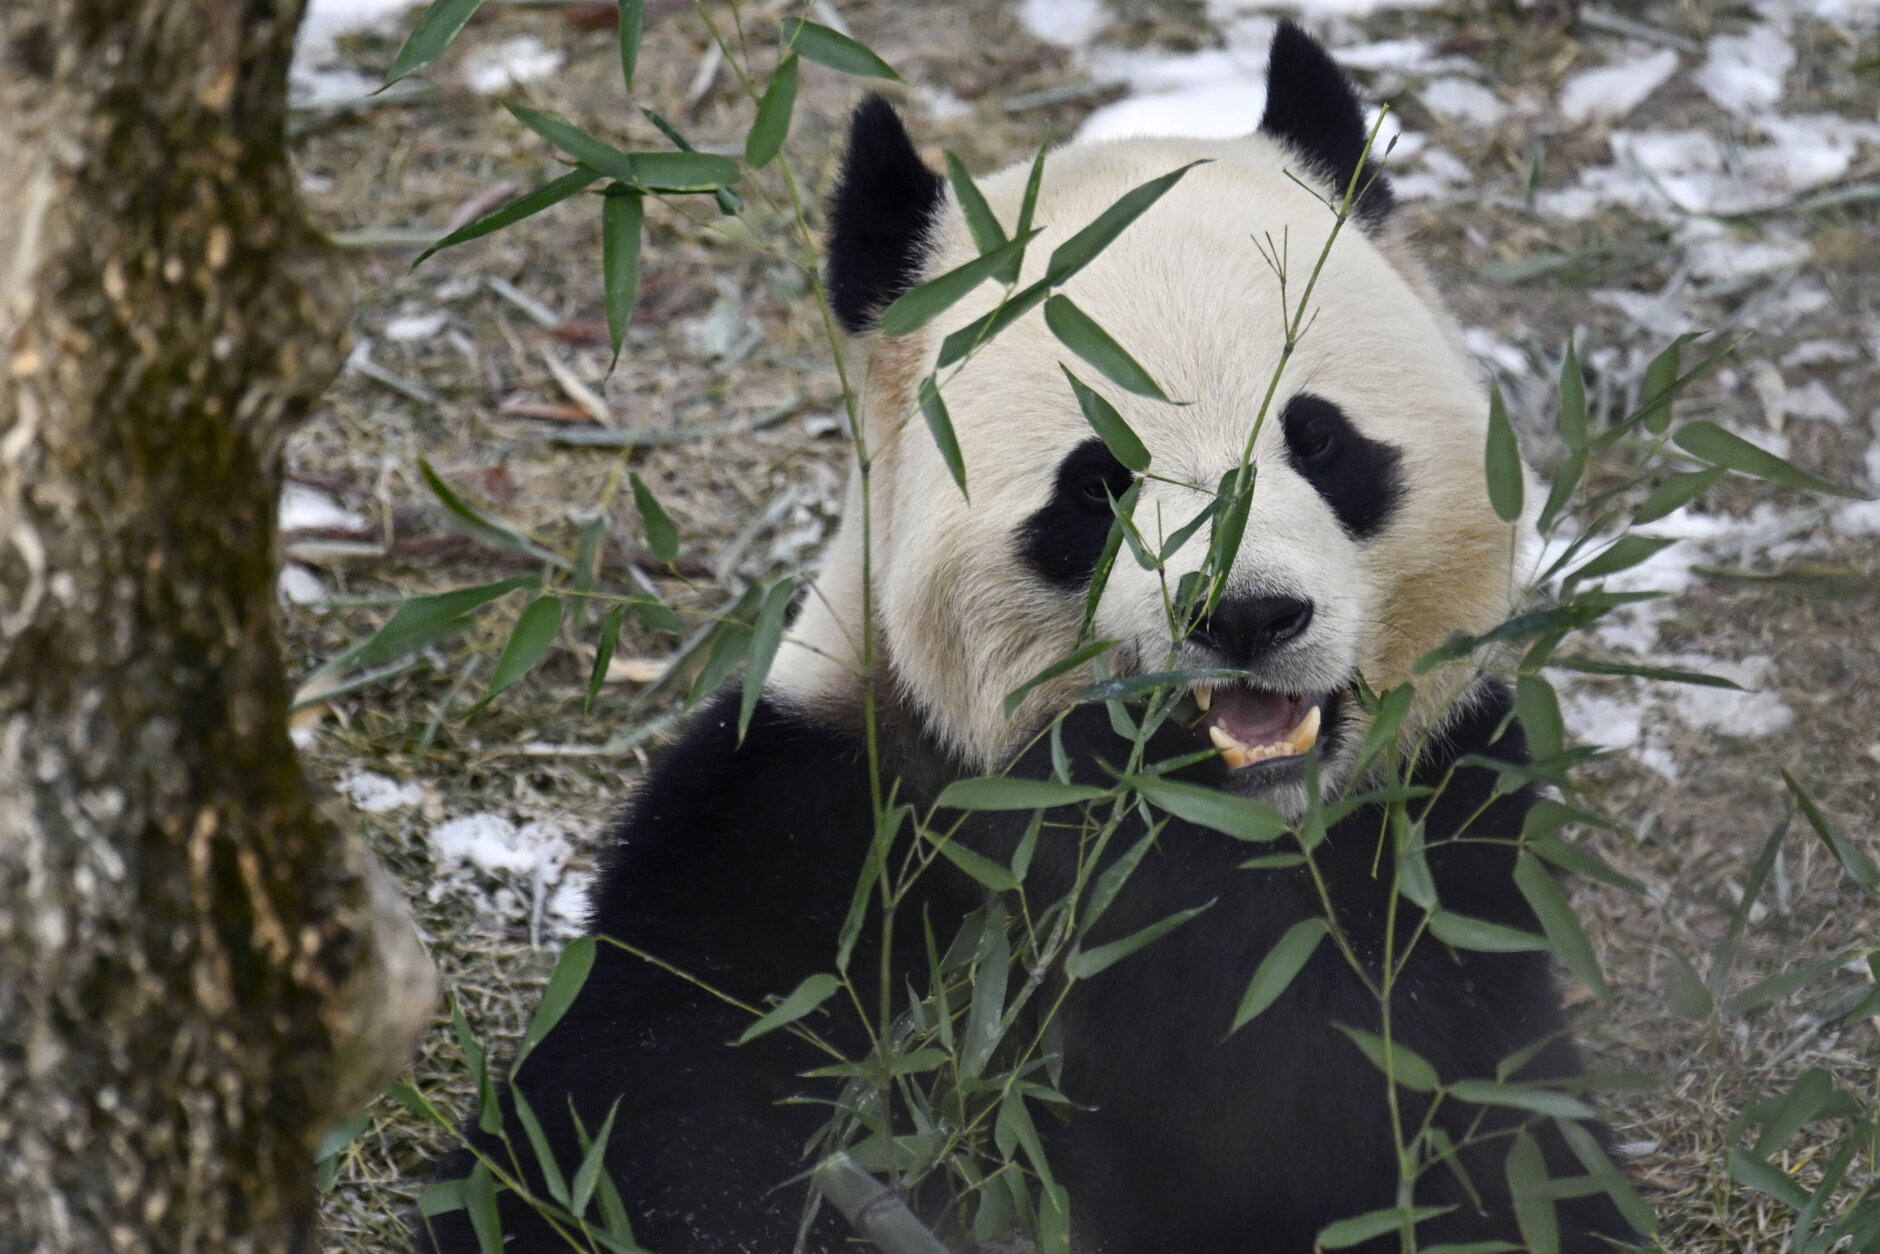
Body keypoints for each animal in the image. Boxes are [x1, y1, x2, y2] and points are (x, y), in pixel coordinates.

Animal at [423, 19, 1646, 1254]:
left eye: (1321, 441)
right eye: (1097, 484)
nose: (1246, 613)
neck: (1221, 824)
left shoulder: (1434, 852)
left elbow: (1456, 1132)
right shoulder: (833, 823)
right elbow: (643, 1119)